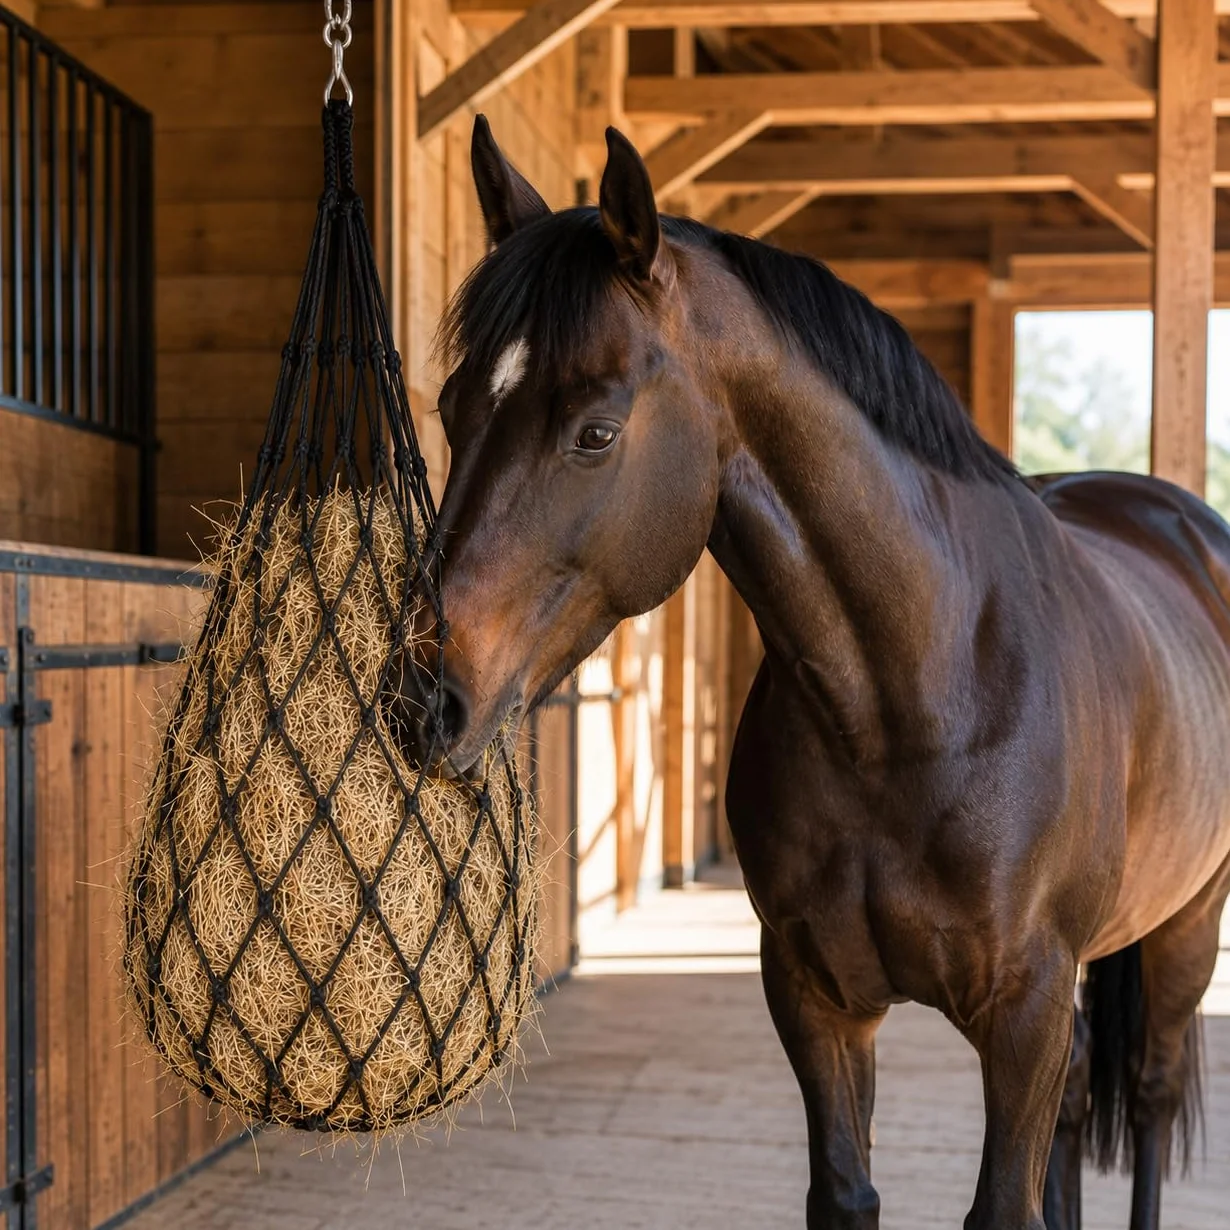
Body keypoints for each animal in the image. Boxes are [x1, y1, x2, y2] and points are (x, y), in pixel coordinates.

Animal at [403, 115, 1230, 1230]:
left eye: (595, 431)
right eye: (452, 408)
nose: (424, 698)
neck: (914, 698)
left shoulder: (1023, 1014)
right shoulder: (814, 997)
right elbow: (846, 1190)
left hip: (1187, 926)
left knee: (1147, 1094)